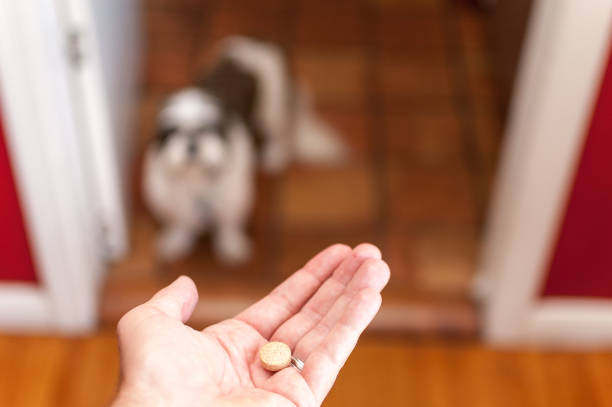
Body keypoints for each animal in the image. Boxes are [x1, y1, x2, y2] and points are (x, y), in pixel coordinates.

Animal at [141, 35, 346, 264]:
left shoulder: (234, 197)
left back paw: (274, 156)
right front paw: (177, 240)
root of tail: (255, 43)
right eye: (172, 131)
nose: (193, 141)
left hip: (272, 110)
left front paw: (231, 245)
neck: (199, 181)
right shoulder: (170, 201)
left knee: (279, 135)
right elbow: (180, 223)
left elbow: (229, 225)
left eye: (212, 128)